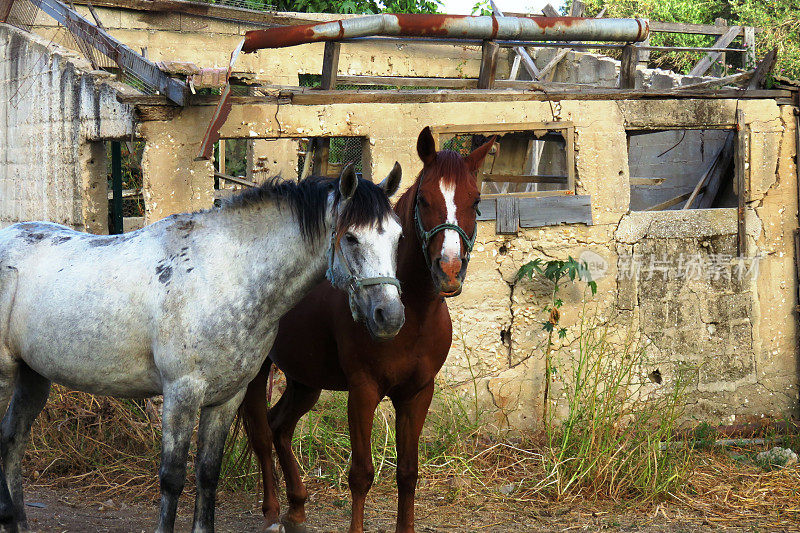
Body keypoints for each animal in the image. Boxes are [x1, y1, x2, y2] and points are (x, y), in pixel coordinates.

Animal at [0, 163, 404, 532]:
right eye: (351, 237)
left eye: (398, 237)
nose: (390, 316)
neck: (224, 274)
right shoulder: (182, 392)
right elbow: (172, 477)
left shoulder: (227, 397)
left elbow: (208, 474)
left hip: (33, 376)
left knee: (12, 441)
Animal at [241, 128, 496, 532]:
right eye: (424, 200)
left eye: (476, 200)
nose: (449, 270)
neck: (413, 317)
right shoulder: (363, 391)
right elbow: (361, 474)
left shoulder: (417, 393)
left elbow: (408, 472)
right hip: (258, 372)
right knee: (262, 433)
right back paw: (271, 511)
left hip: (305, 379)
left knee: (279, 426)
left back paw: (296, 508)